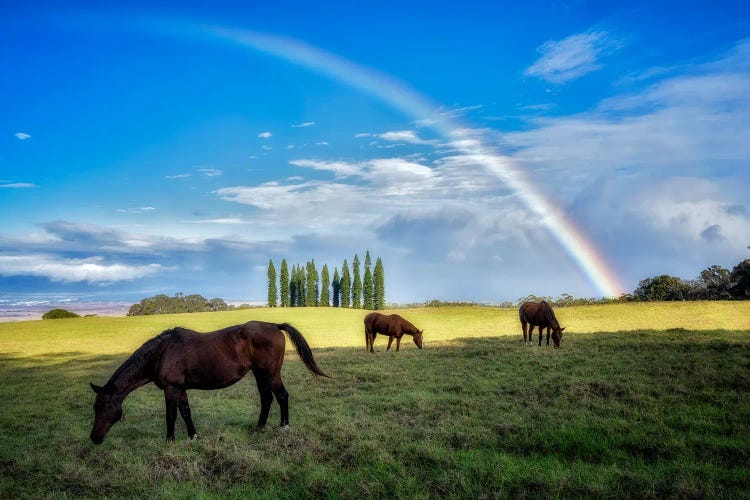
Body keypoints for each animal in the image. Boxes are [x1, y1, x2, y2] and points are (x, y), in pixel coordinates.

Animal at [89, 320, 328, 446]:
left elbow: (171, 415)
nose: (94, 438)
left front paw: (169, 441)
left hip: (270, 374)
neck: (163, 352)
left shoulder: (171, 389)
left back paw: (284, 427)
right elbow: (186, 413)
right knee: (267, 398)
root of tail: (275, 326)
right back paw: (258, 428)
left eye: (104, 407)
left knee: (281, 396)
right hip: (259, 374)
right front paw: (193, 437)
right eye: (95, 407)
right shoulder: (180, 389)